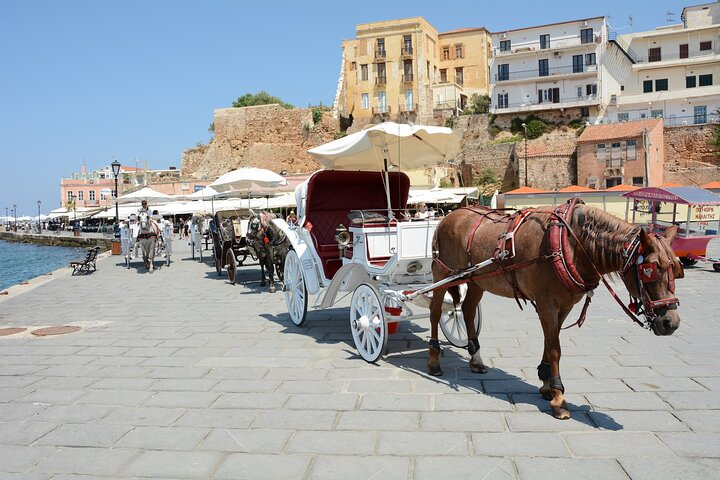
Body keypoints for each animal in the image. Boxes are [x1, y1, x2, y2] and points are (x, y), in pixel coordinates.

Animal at [428, 201, 688, 418]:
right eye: (650, 269)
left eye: (677, 270)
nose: (671, 323)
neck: (571, 243)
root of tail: (448, 215)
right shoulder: (547, 304)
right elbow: (555, 350)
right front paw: (558, 397)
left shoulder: (564, 306)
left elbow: (549, 342)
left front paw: (545, 384)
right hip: (442, 275)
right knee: (435, 311)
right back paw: (434, 361)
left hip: (475, 280)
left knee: (468, 309)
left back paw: (475, 358)